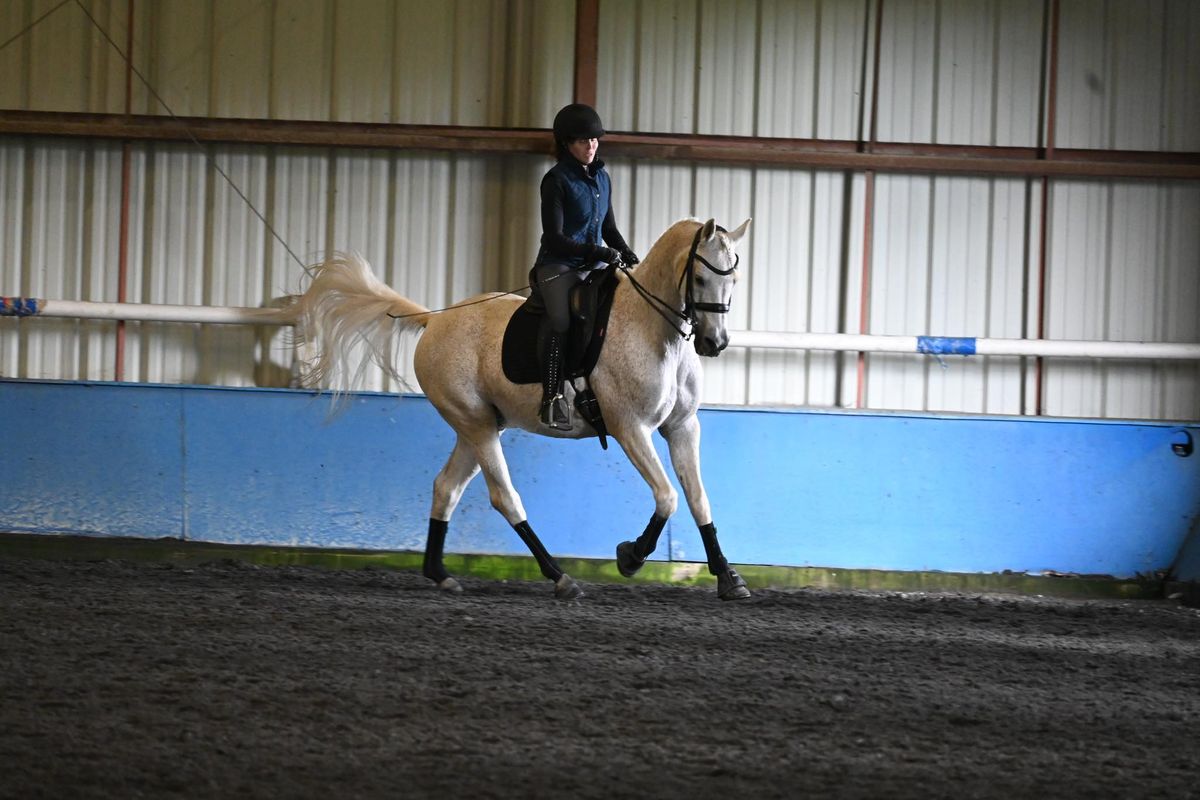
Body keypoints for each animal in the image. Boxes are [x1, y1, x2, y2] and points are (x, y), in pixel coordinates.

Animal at [288, 215, 748, 604]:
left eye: (734, 279)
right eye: (701, 277)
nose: (715, 344)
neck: (652, 329)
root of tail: (434, 322)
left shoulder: (683, 427)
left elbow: (698, 499)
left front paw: (729, 578)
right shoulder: (630, 428)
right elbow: (668, 496)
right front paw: (630, 556)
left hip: (479, 427)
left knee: (446, 487)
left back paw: (440, 574)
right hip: (475, 424)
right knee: (504, 497)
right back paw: (560, 577)